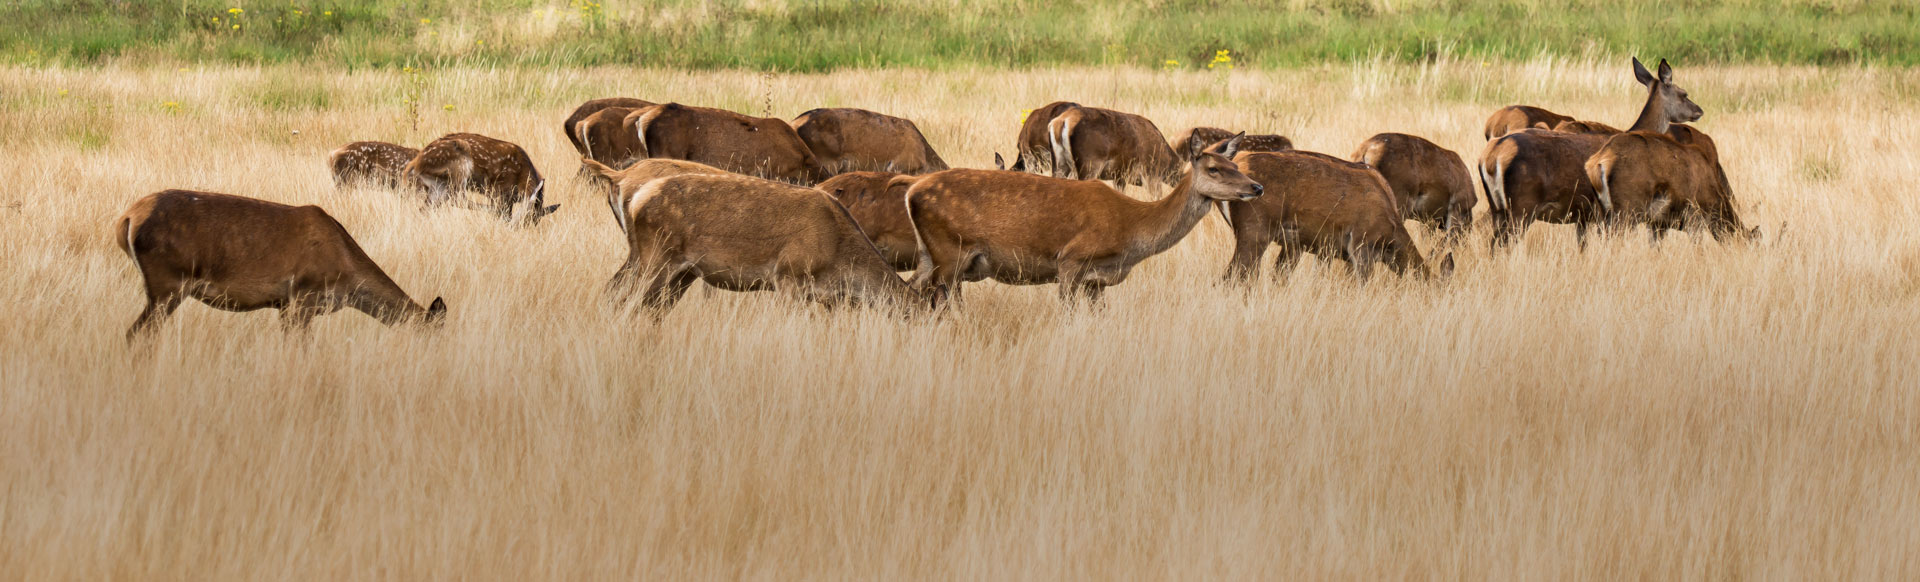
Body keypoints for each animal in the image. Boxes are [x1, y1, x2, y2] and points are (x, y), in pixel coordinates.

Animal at [116, 190, 446, 341]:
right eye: (430, 337)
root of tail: (126, 220)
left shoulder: (285, 305)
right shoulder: (301, 298)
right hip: (168, 284)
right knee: (136, 335)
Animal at [405, 133, 558, 225]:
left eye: (533, 223)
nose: (513, 228)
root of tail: (416, 163)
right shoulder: (497, 190)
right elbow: (503, 212)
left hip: (439, 185)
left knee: (425, 208)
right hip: (461, 165)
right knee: (458, 199)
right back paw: (489, 209)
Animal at [606, 173, 919, 317]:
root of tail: (636, 199)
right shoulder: (788, 275)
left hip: (682, 272)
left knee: (648, 307)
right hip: (654, 256)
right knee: (622, 298)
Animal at [904, 134, 1263, 307]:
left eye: (1236, 165)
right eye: (1214, 169)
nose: (1256, 187)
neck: (1131, 229)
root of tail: (911, 192)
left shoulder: (1097, 281)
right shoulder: (1070, 260)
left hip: (930, 256)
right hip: (950, 252)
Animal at [1478, 57, 1704, 251]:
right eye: (1684, 93)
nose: (1699, 111)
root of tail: (1491, 157)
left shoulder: (1583, 215)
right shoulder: (1601, 212)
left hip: (1497, 207)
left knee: (1493, 243)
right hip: (1522, 206)